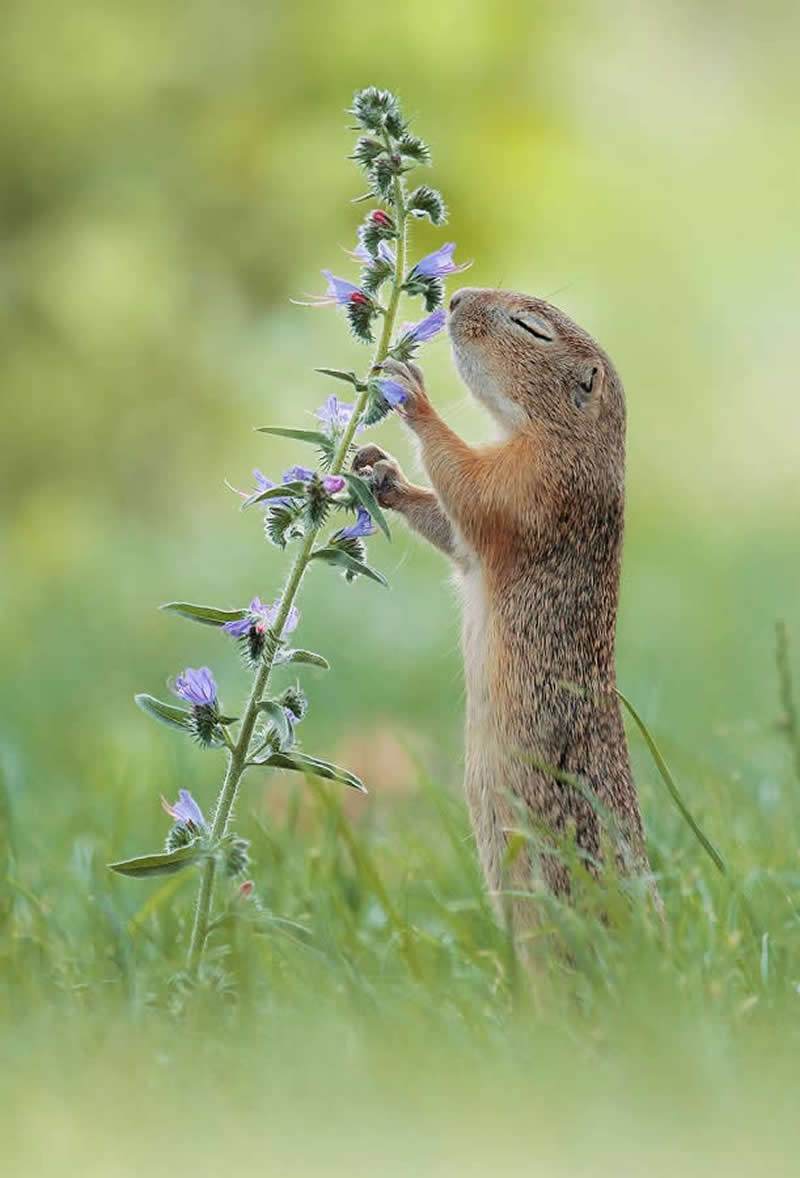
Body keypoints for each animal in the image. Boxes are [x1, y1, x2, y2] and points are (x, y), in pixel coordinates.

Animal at [353, 286, 659, 934]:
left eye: (530, 327)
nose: (457, 297)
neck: (572, 440)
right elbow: (452, 528)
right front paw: (383, 474)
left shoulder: (533, 486)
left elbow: (471, 488)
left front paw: (411, 393)